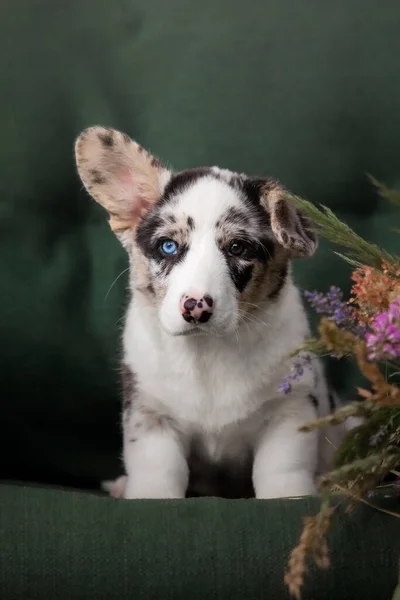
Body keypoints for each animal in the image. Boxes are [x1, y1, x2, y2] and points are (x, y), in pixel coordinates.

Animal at [74, 127, 338, 502]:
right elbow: (159, 475)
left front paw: (291, 497)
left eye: (238, 247)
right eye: (168, 246)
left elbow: (282, 473)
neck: (207, 352)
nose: (196, 305)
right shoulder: (151, 417)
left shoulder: (290, 411)